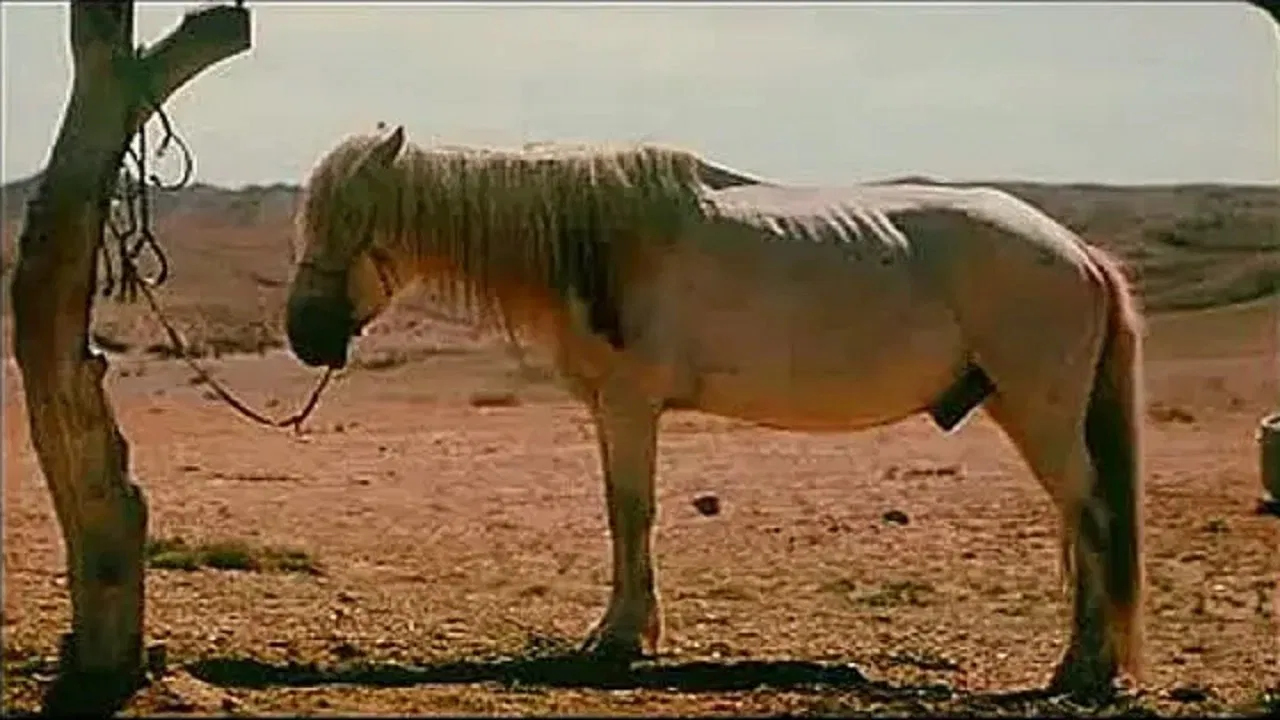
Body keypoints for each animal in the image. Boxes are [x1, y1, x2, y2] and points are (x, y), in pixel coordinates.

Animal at [283, 125, 1145, 699]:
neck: (598, 241)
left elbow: (631, 512)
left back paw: (1082, 669)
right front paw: (625, 631)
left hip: (1040, 413)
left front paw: (619, 640)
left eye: (356, 222)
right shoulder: (611, 409)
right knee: (1081, 521)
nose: (304, 334)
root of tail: (1075, 251)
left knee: (1092, 516)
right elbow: (620, 512)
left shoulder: (631, 405)